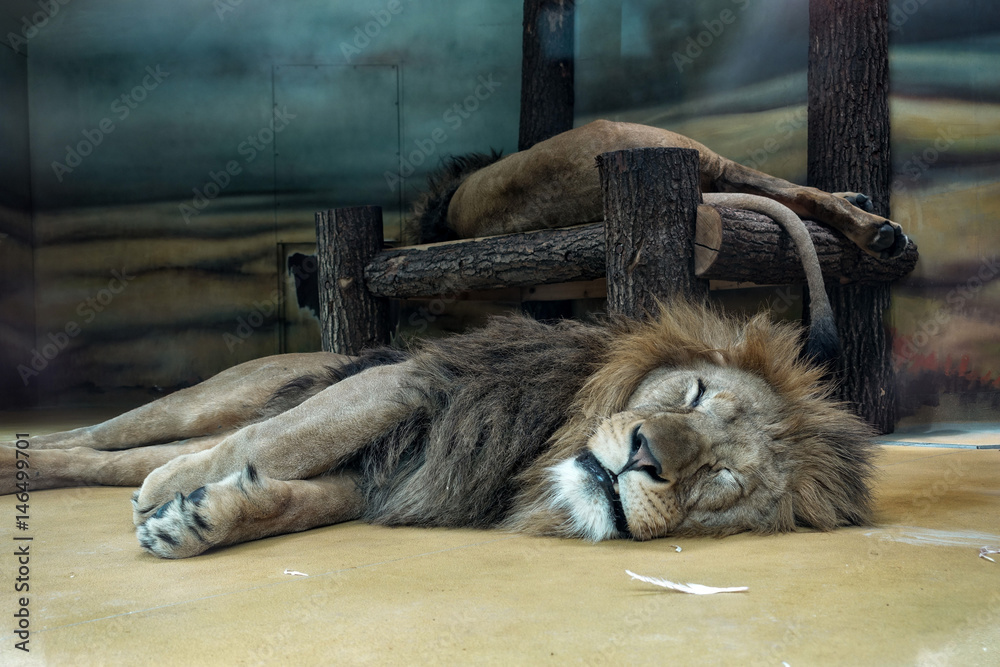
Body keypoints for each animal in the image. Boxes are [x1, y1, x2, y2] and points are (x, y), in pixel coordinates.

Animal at [1, 301, 875, 558]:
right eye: (691, 394)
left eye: (721, 477)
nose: (643, 457)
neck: (532, 462)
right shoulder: (412, 384)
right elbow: (278, 442)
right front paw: (175, 495)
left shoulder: (400, 474)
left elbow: (291, 492)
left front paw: (197, 518)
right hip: (200, 404)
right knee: (108, 437)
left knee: (100, 456)